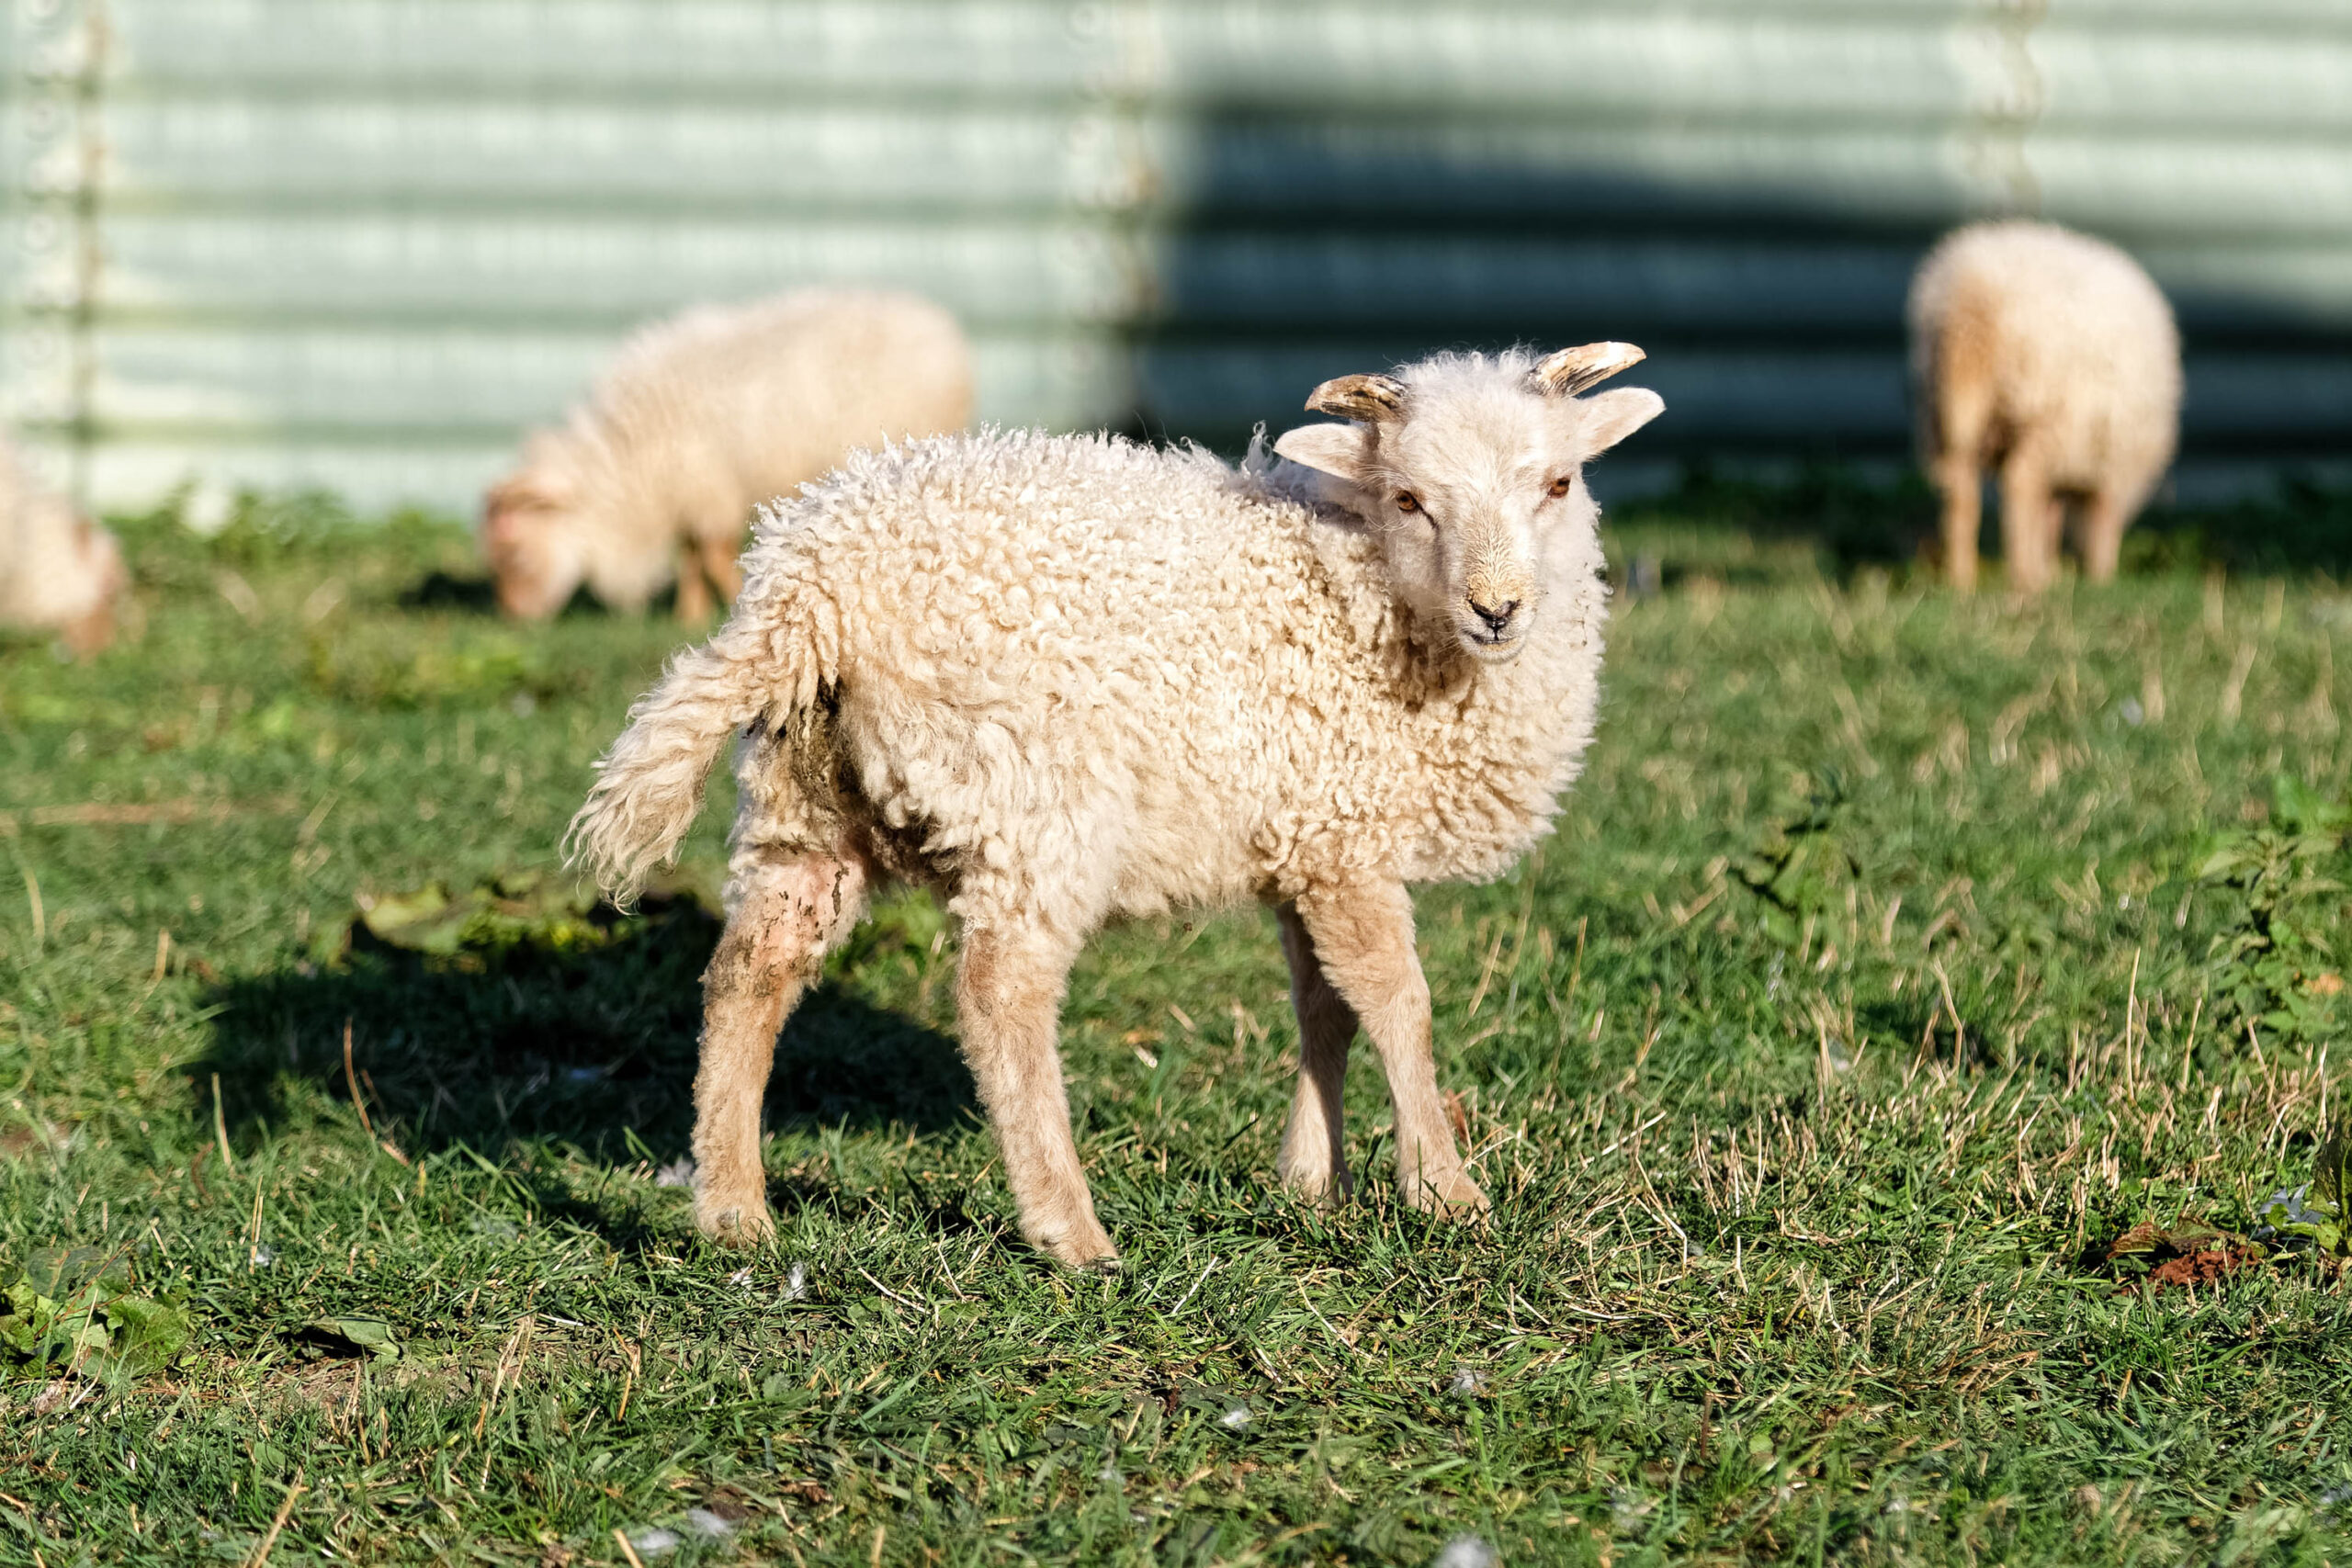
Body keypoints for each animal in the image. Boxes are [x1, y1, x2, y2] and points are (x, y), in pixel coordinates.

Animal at [482, 288, 973, 621]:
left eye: (517, 554)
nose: (515, 619)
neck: (628, 464)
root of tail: (935, 323)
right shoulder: (689, 494)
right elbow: (691, 560)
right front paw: (689, 615)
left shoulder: (709, 488)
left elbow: (715, 559)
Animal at [566, 342, 1663, 1267]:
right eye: (1409, 498)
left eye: (1558, 484)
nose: (1498, 609)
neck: (1354, 583)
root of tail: (809, 588)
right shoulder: (1346, 835)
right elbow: (1397, 1005)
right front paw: (1442, 1189)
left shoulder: (1306, 834)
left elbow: (1325, 1011)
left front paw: (1312, 1180)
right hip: (1028, 804)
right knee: (999, 996)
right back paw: (1069, 1231)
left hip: (806, 802)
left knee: (750, 972)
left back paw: (733, 1210)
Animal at [1908, 219, 2181, 594]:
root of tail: (1971, 309)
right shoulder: (2113, 464)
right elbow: (2099, 519)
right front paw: (2099, 576)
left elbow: (2048, 516)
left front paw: (2052, 569)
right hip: (2048, 415)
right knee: (2019, 483)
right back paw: (2024, 580)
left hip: (1939, 412)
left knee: (1960, 492)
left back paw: (1962, 580)